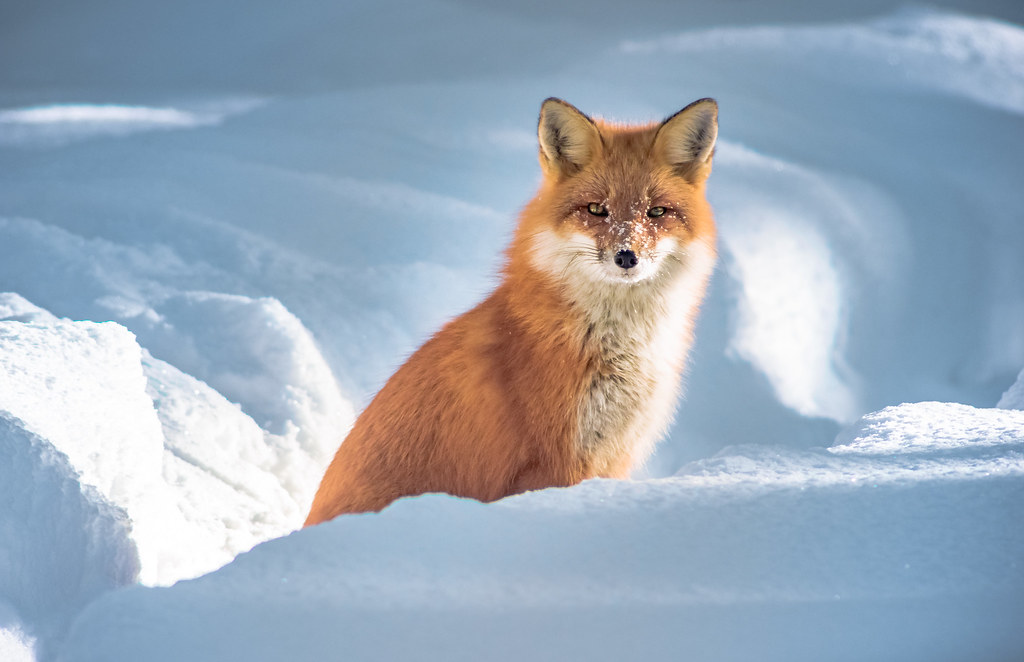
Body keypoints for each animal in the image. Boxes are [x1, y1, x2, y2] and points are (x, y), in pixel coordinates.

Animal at [305, 97, 718, 525]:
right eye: (595, 209)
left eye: (657, 212)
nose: (626, 256)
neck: (618, 347)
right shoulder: (556, 462)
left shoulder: (612, 455)